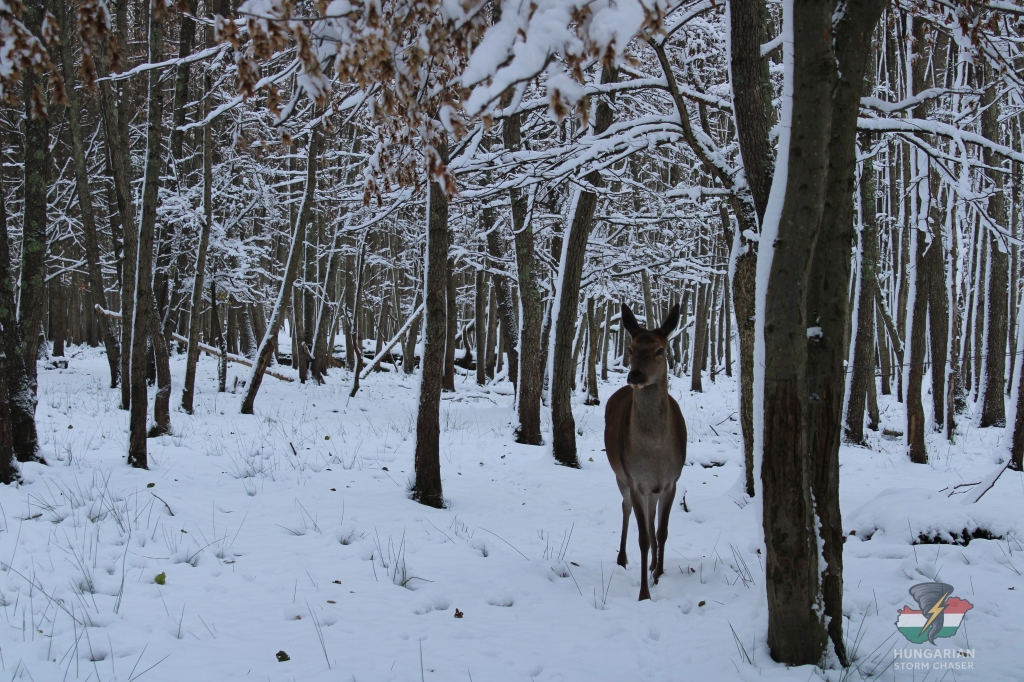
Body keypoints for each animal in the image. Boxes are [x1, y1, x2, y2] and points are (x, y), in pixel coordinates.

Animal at [604, 302, 686, 601]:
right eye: (630, 348)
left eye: (660, 350)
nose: (635, 375)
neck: (655, 455)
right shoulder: (636, 481)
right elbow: (643, 539)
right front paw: (644, 593)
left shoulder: (672, 481)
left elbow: (661, 532)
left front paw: (659, 573)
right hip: (620, 476)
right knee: (626, 508)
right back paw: (622, 558)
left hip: (653, 488)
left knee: (652, 522)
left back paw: (652, 565)